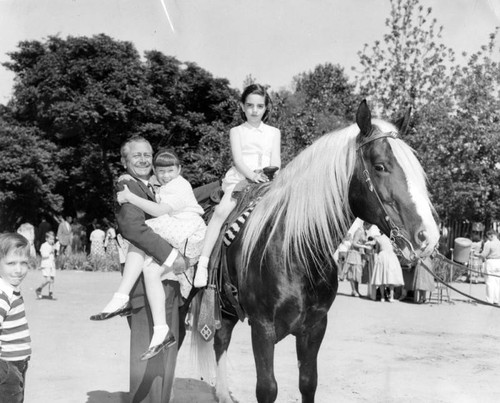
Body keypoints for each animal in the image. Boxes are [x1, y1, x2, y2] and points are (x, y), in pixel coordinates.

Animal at [193, 98, 440, 403]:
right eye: (380, 166)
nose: (428, 236)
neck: (294, 250)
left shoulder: (314, 328)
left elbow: (308, 383)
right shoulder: (262, 329)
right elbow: (267, 388)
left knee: (221, 339)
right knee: (219, 340)